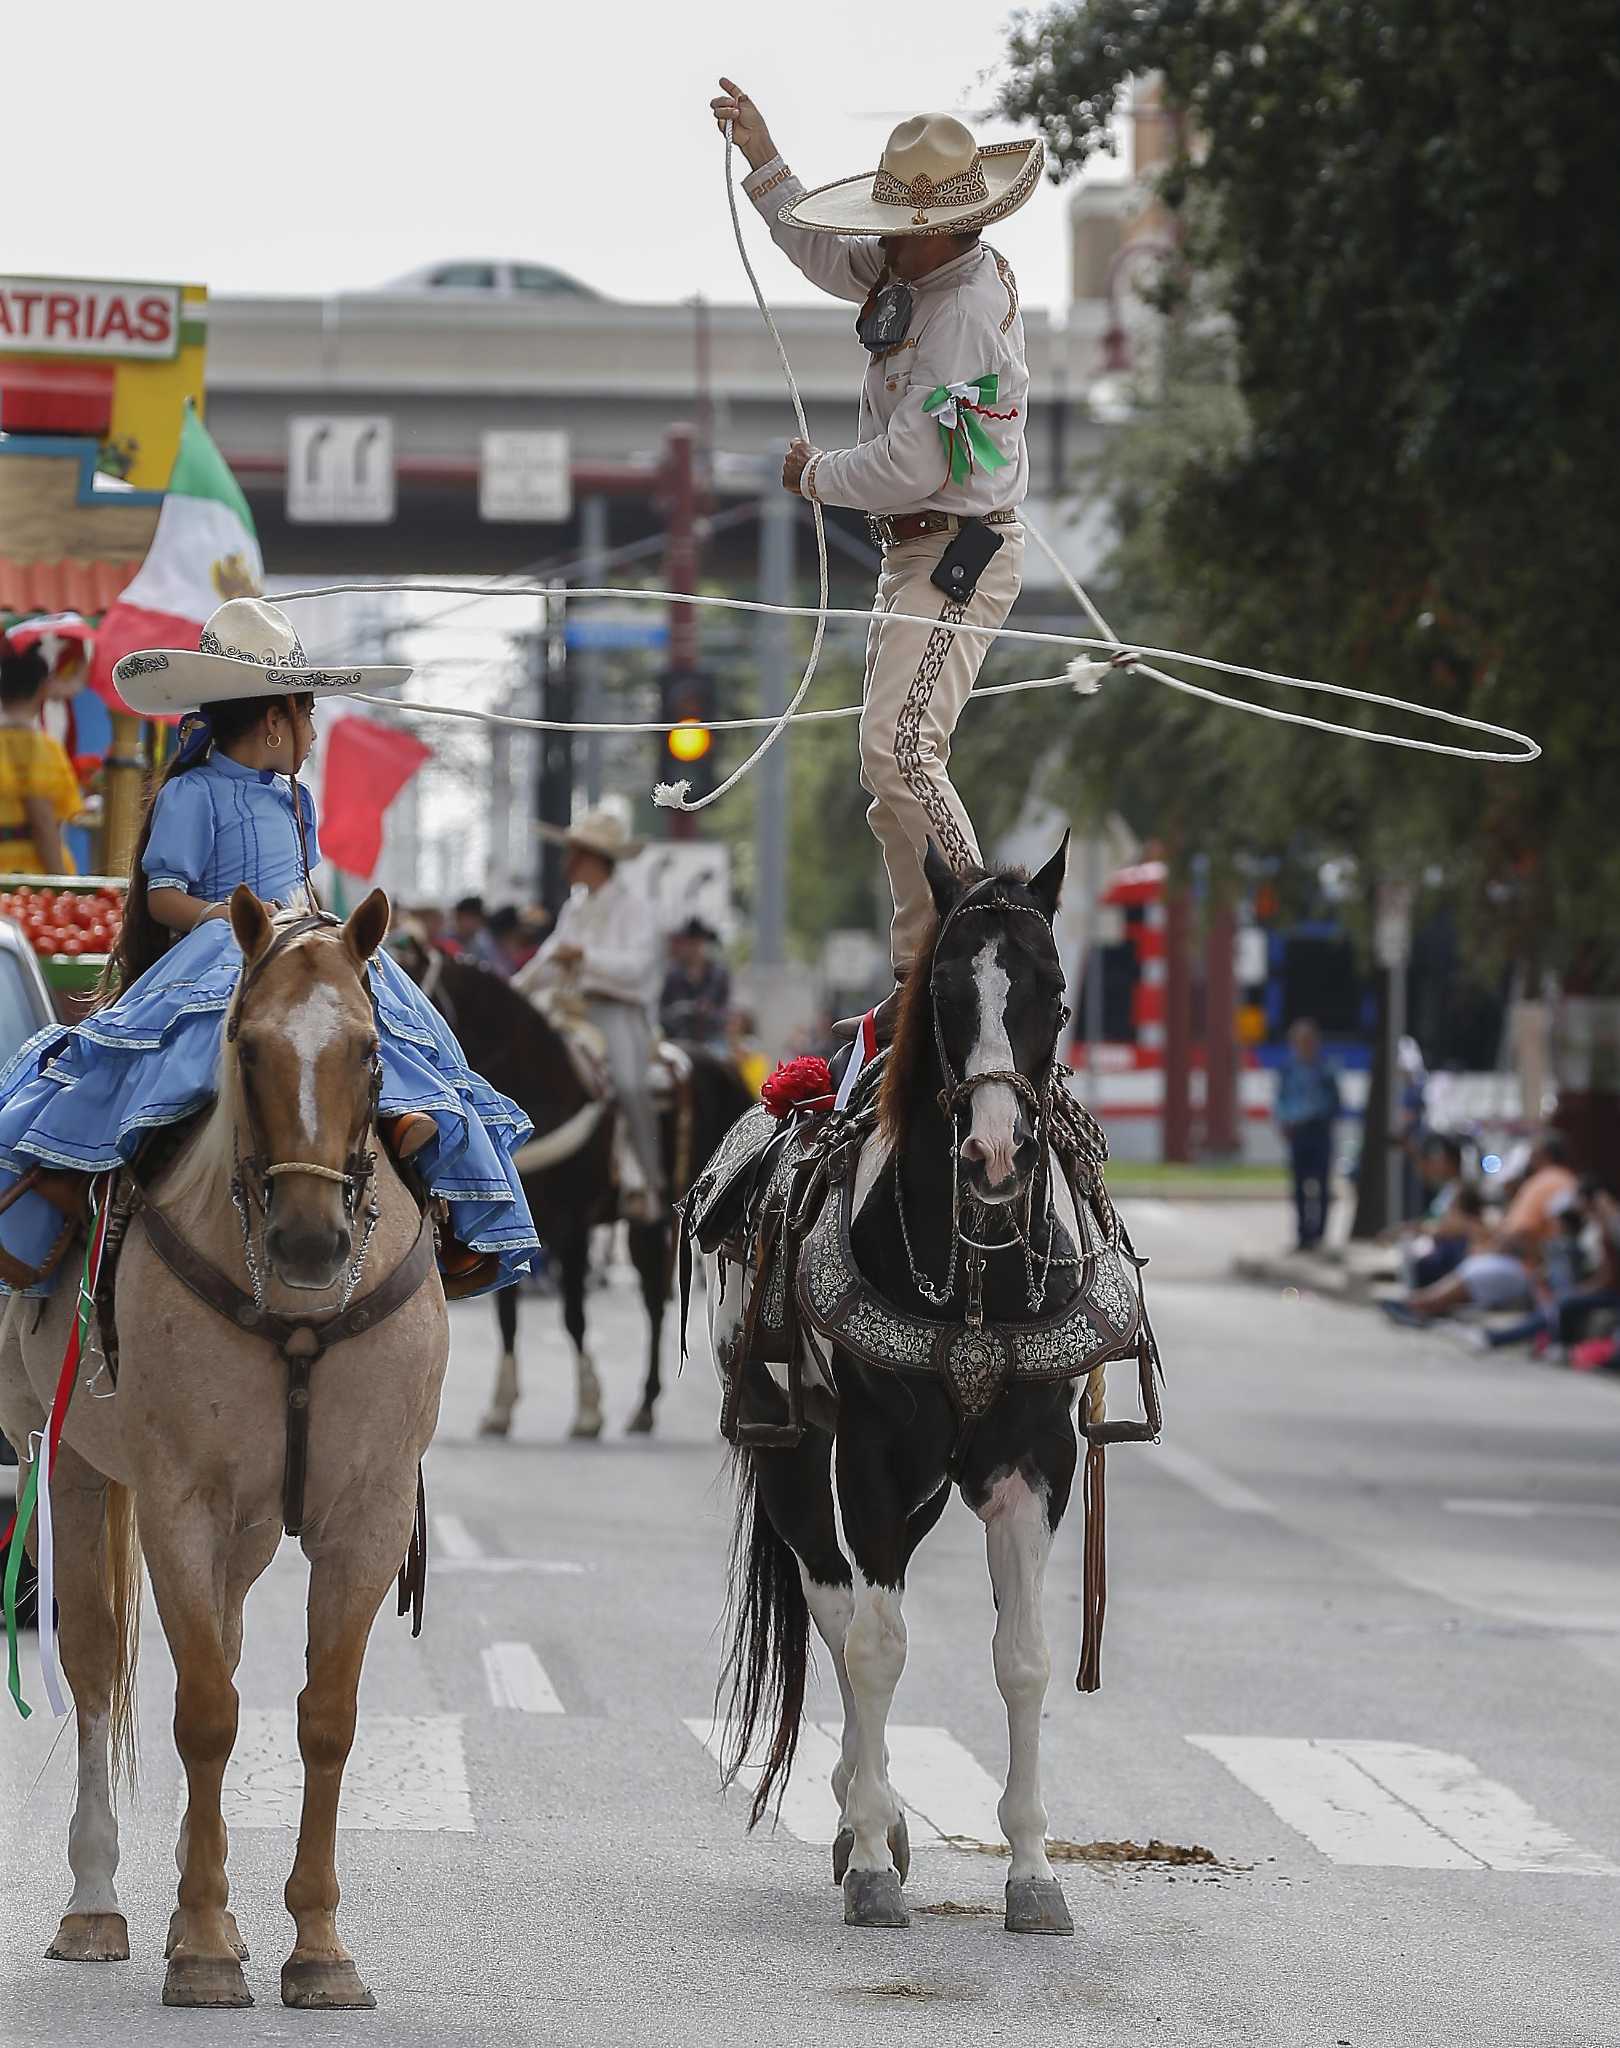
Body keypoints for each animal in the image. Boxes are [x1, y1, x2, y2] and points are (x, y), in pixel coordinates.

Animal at [0, 888, 446, 2007]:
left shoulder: (368, 1516)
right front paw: (200, 1941)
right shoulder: (178, 1501)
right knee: (96, 1662)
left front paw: (316, 1946)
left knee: (230, 1646)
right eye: (245, 1046)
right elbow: (202, 1710)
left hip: (245, 1526)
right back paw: (98, 1905)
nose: (310, 1241)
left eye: (371, 1049)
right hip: (71, 1462)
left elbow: (323, 1718)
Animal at [393, 942, 753, 1441]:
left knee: (658, 1300)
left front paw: (588, 1407)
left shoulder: (574, 1226)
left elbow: (574, 1315)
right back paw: (645, 1405)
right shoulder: (512, 1225)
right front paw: (500, 1407)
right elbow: (507, 1317)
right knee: (654, 1299)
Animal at [708, 843, 1155, 1933]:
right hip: (793, 1456)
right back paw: (864, 1812)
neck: (978, 1274)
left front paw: (1033, 1873)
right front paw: (873, 1855)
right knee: (837, 1608)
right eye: (943, 989)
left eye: (1057, 991)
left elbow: (1023, 1658)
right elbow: (875, 1647)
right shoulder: (871, 1461)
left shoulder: (1034, 1466)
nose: (995, 1153)